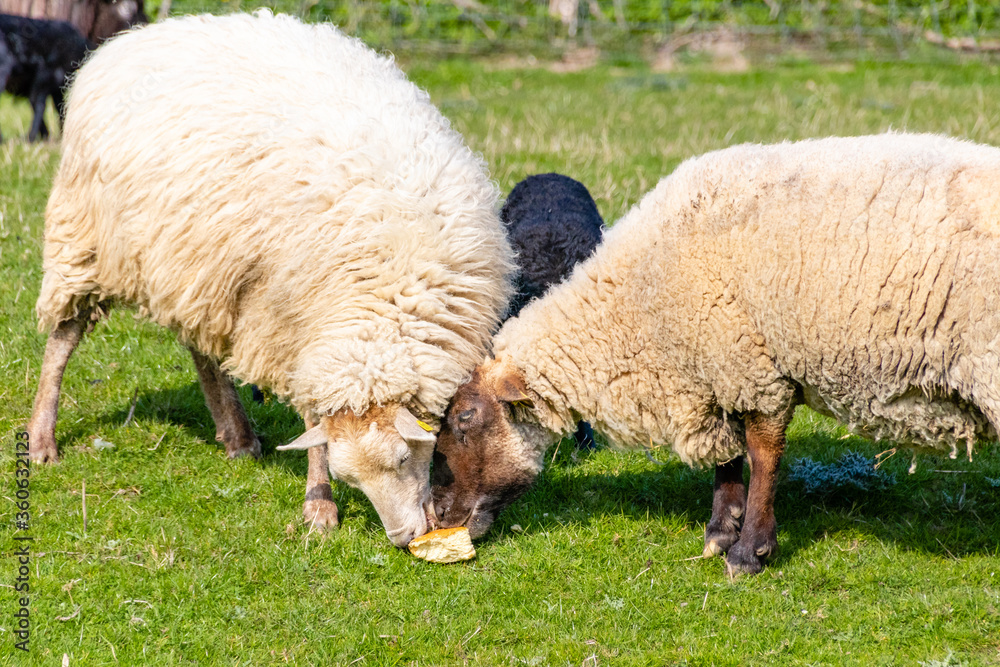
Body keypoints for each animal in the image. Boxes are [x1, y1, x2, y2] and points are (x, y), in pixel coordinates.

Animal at [26, 11, 514, 548]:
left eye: (406, 457)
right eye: (350, 479)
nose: (402, 538)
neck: (390, 284)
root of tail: (132, 38)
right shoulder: (293, 327)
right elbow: (314, 424)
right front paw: (319, 506)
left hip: (194, 264)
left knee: (202, 347)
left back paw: (236, 434)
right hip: (85, 238)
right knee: (63, 337)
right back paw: (42, 439)